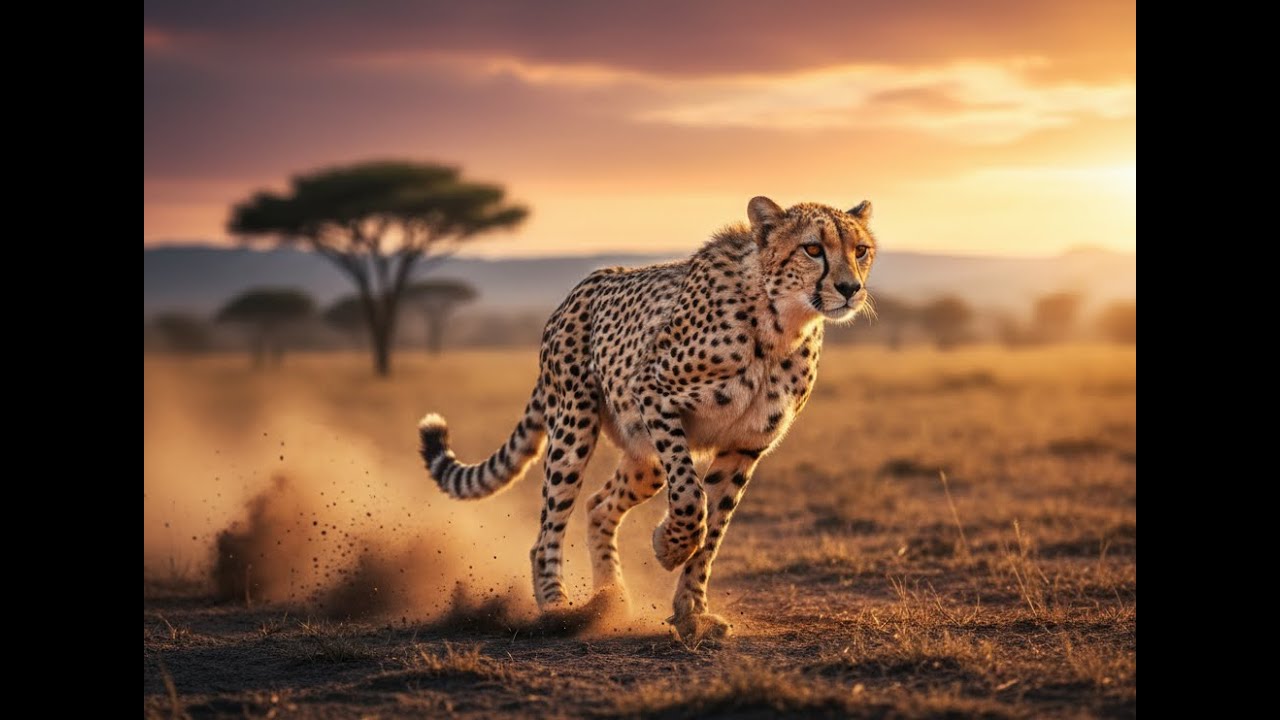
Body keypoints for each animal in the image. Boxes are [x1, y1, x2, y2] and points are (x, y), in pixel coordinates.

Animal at [418, 196, 877, 642]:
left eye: (860, 250)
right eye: (813, 249)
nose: (850, 288)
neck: (780, 324)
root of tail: (581, 288)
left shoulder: (745, 445)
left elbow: (714, 528)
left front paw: (692, 612)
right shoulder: (653, 392)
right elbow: (692, 497)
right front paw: (670, 546)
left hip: (644, 458)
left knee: (599, 505)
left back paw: (611, 598)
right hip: (575, 424)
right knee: (549, 527)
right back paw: (558, 608)